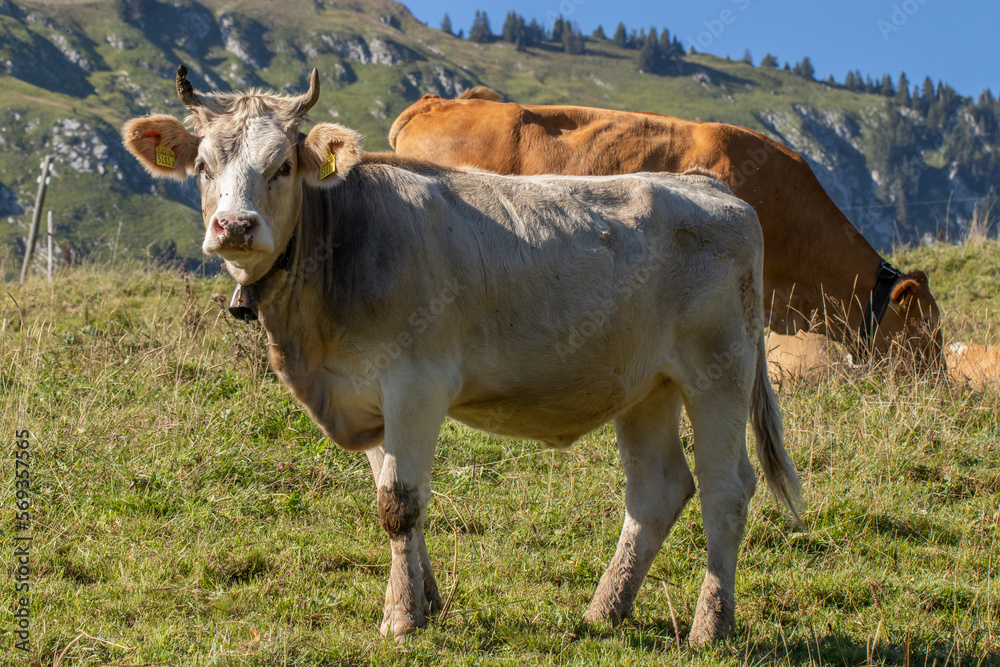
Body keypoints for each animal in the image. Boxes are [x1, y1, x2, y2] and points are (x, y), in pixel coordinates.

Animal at [119, 69, 804, 648]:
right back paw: (604, 611)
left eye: (283, 165)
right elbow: (398, 495)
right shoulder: (368, 396)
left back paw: (710, 627)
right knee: (657, 489)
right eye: (203, 165)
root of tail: (708, 186)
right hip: (646, 384)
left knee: (726, 489)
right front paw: (427, 601)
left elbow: (398, 503)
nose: (235, 227)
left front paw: (400, 619)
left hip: (719, 369)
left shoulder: (415, 383)